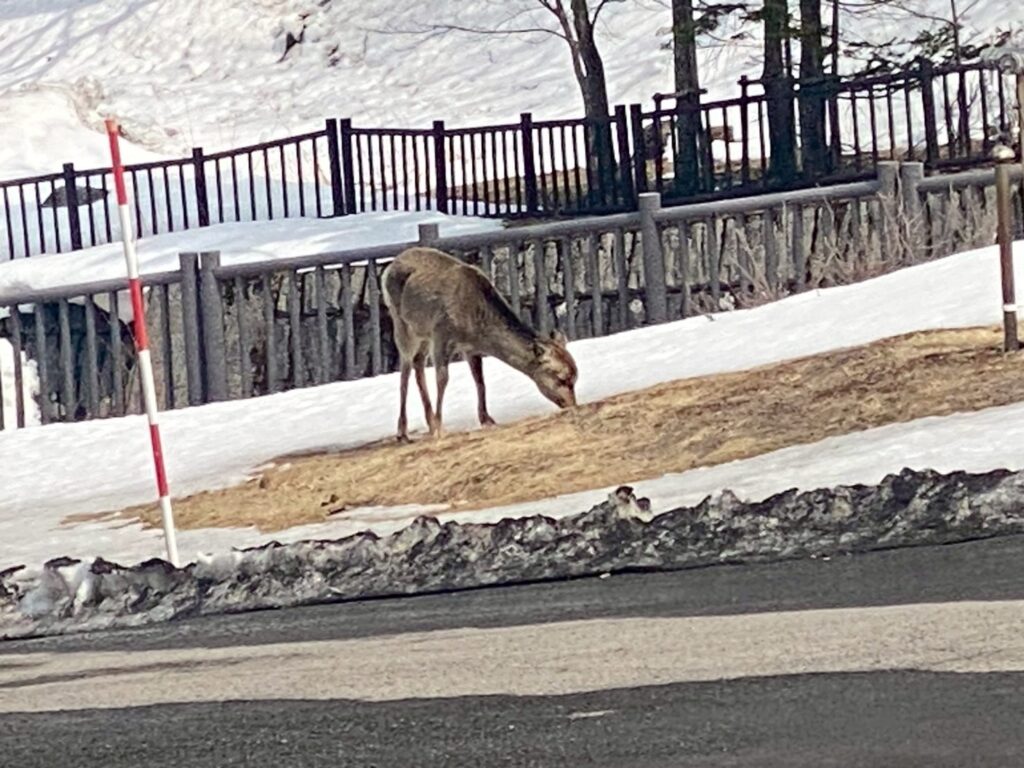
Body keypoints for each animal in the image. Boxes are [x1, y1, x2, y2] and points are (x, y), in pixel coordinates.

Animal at [382, 246, 578, 442]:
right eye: (561, 378)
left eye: (575, 377)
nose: (572, 405)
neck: (477, 330)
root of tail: (388, 269)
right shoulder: (441, 334)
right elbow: (442, 379)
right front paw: (439, 429)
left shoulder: (470, 348)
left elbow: (480, 380)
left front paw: (487, 419)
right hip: (402, 323)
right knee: (405, 369)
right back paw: (403, 431)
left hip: (422, 332)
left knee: (418, 363)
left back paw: (428, 423)